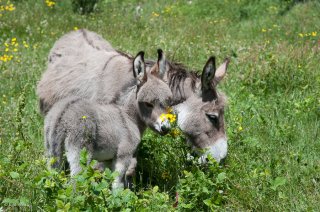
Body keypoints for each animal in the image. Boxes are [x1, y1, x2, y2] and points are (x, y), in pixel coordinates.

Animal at [45, 52, 172, 188]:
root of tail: (63, 113)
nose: (165, 128)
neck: (128, 117)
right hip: (80, 151)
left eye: (168, 101)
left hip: (52, 151)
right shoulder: (123, 156)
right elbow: (118, 184)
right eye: (148, 104)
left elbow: (107, 181)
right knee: (75, 182)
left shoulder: (107, 160)